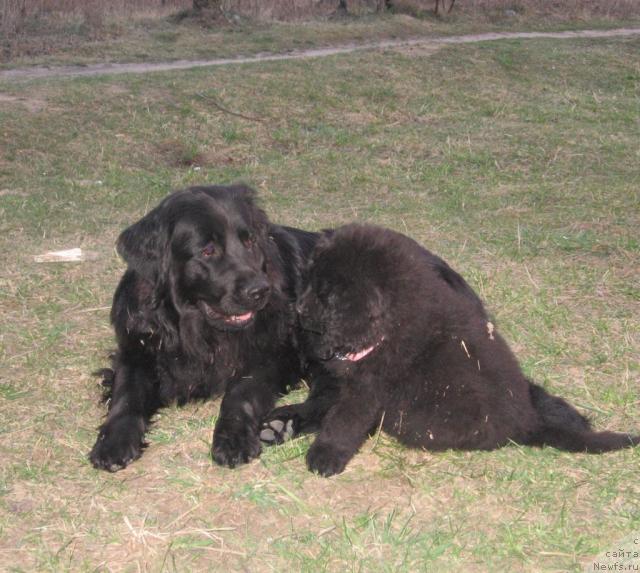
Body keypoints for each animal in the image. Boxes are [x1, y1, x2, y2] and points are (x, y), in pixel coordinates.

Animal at [89, 183, 318, 470]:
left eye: (250, 241)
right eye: (208, 251)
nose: (260, 290)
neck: (196, 330)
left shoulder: (271, 354)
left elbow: (240, 395)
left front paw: (233, 438)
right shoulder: (136, 349)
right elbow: (126, 395)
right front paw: (113, 441)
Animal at [262, 222, 640, 474]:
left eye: (326, 295)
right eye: (308, 282)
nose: (298, 309)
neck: (387, 323)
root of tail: (526, 424)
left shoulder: (369, 388)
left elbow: (343, 421)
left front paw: (324, 456)